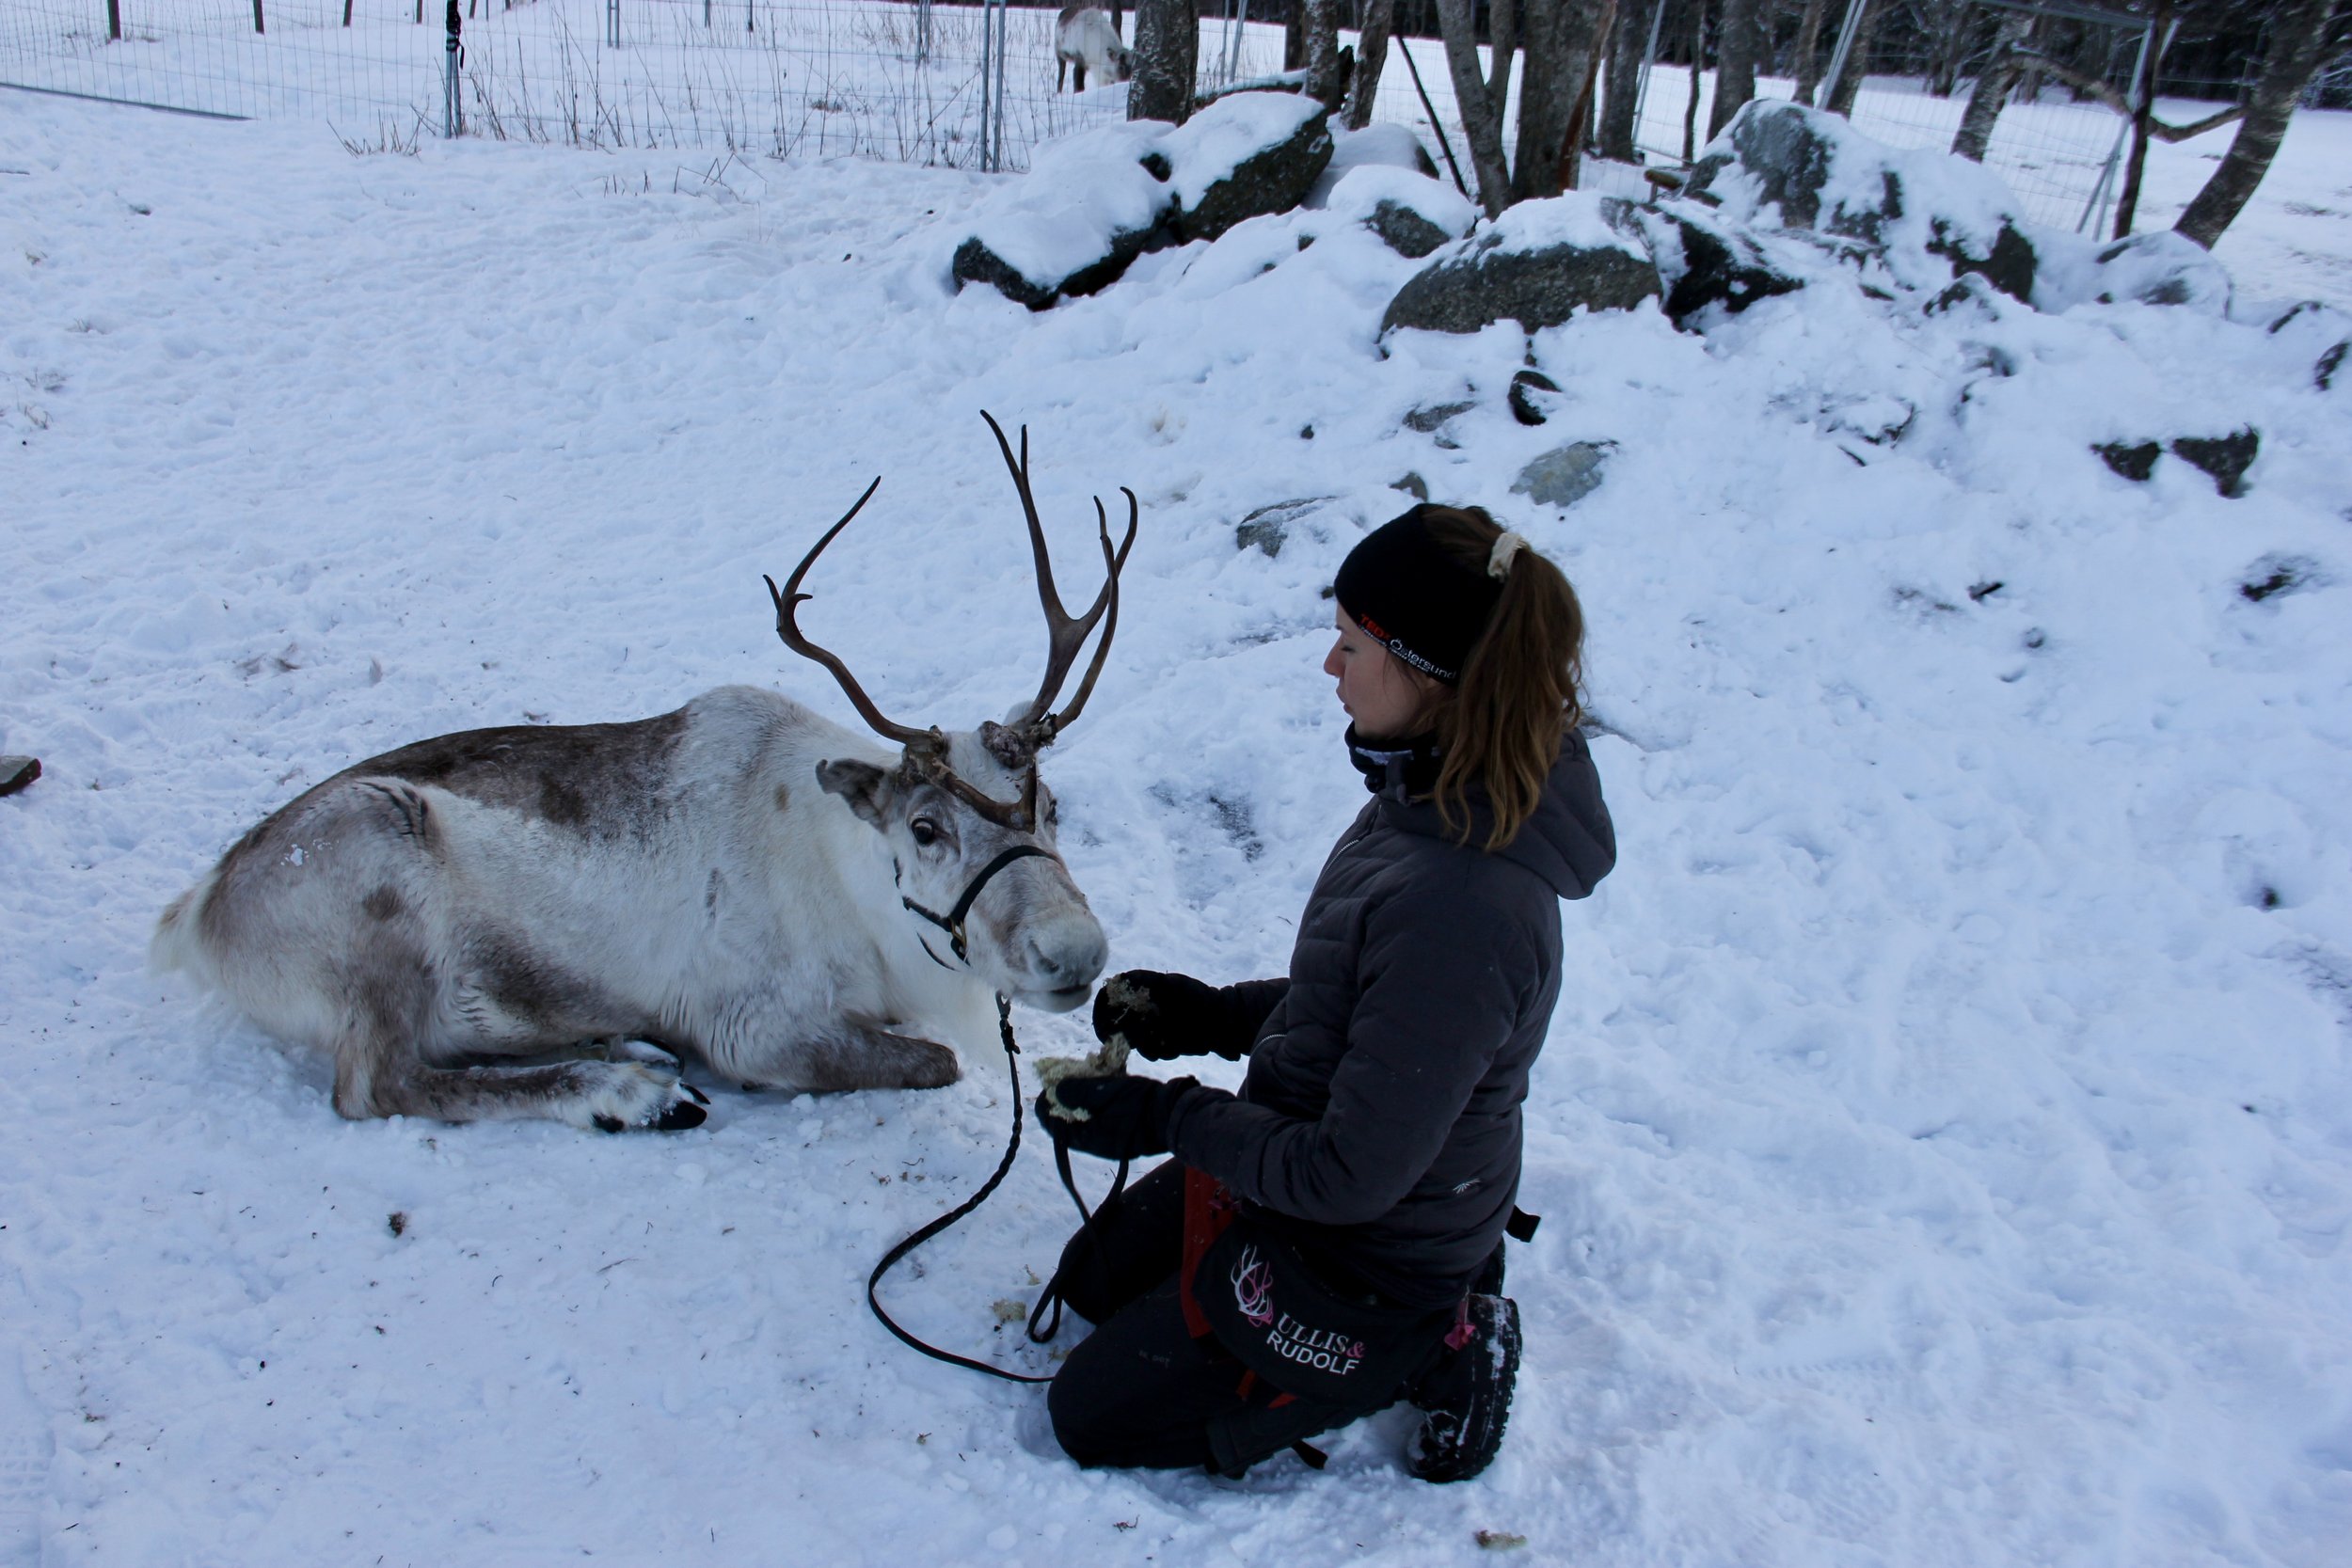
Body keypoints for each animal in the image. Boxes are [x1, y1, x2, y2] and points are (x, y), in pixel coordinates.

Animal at [152, 416, 1135, 1134]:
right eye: (926, 827)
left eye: (1050, 805)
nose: (1076, 951)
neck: (861, 894)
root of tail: (198, 912)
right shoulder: (758, 1026)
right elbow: (938, 1058)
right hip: (374, 877)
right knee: (380, 1081)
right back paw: (633, 1091)